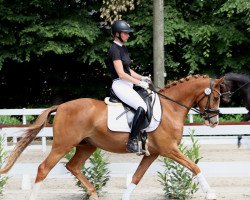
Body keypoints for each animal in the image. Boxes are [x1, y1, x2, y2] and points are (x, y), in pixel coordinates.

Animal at [0, 74, 223, 200]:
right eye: (215, 96)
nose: (214, 121)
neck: (170, 108)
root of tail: (61, 106)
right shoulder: (170, 150)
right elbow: (195, 166)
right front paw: (210, 193)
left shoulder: (152, 153)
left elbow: (136, 177)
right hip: (63, 145)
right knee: (43, 169)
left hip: (87, 146)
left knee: (73, 166)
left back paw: (94, 194)